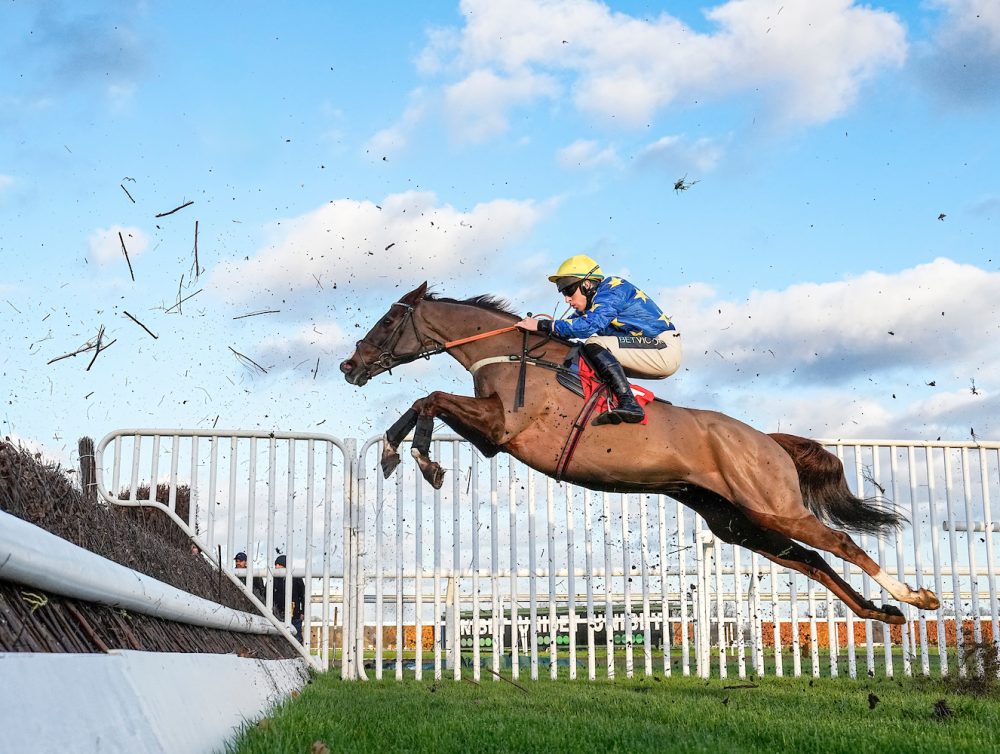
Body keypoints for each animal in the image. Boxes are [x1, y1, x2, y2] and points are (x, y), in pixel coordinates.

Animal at [342, 282, 936, 624]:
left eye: (388, 321)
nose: (350, 365)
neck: (511, 352)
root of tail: (767, 440)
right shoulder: (491, 439)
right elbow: (425, 401)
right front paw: (397, 452)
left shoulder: (504, 428)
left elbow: (431, 397)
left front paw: (421, 459)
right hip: (737, 522)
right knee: (811, 559)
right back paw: (880, 612)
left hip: (772, 505)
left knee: (839, 543)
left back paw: (914, 598)